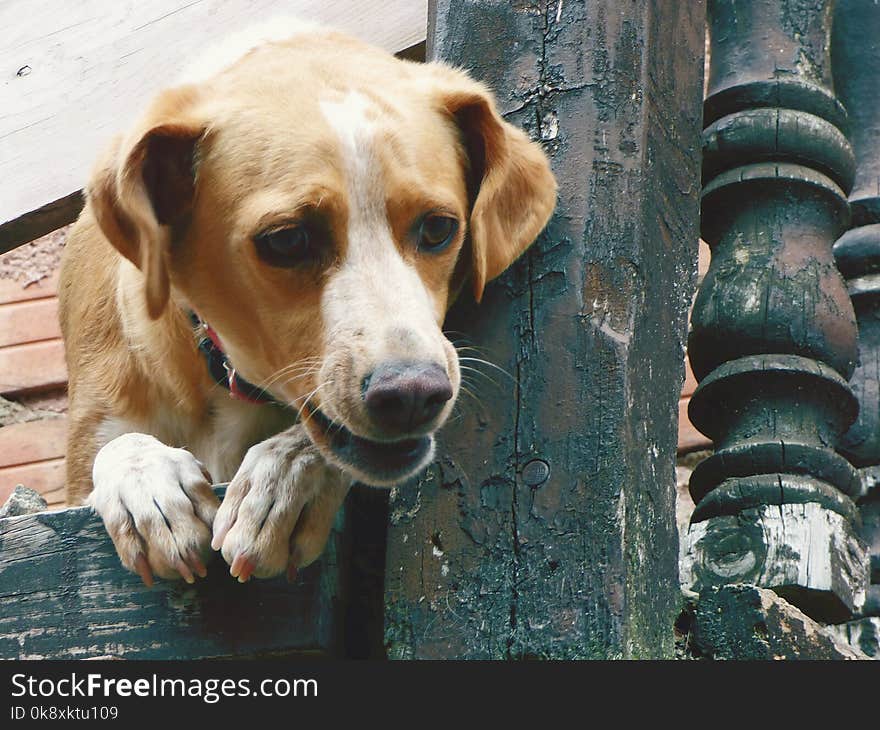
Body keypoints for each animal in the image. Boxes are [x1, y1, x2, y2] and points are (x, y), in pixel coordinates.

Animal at [56, 18, 556, 584]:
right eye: (287, 240)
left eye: (438, 228)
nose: (412, 394)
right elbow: (120, 446)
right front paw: (148, 486)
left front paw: (282, 479)